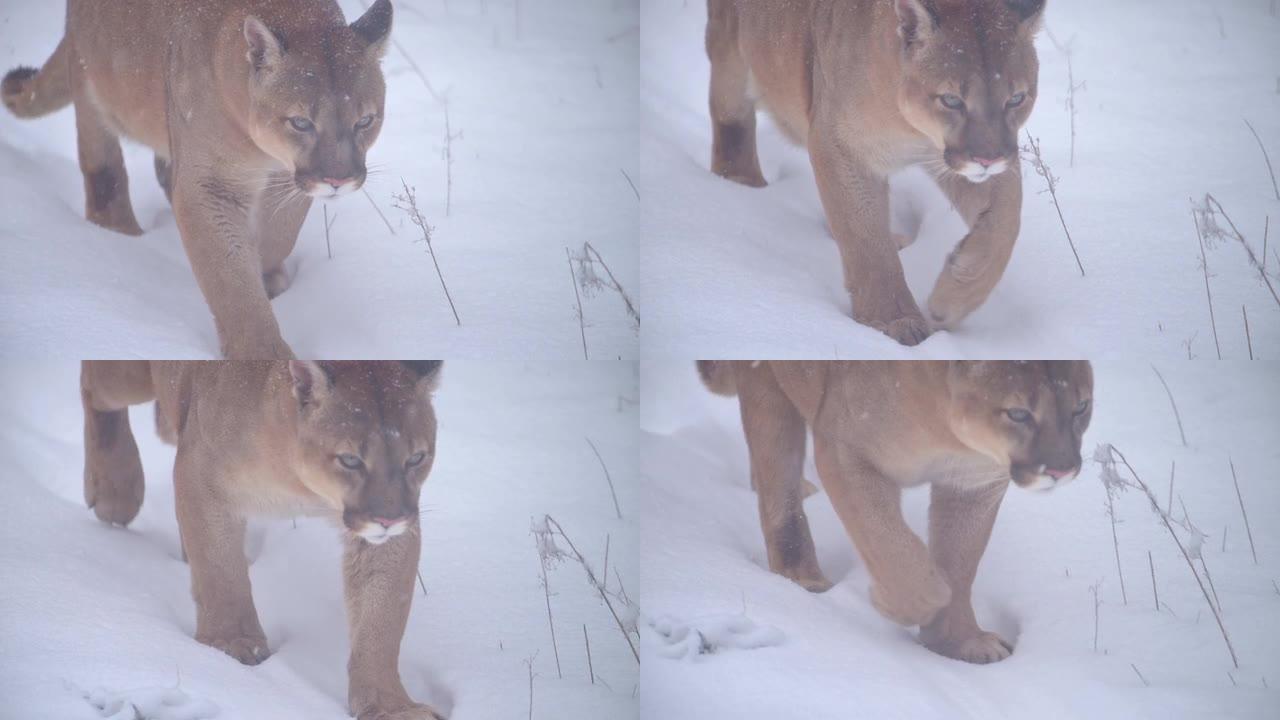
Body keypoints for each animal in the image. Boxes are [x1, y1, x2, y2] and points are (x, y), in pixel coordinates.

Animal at [3, 0, 389, 358]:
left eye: (365, 121)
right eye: (301, 122)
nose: (338, 179)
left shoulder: (285, 180)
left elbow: (280, 234)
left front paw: (269, 277)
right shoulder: (209, 186)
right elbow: (228, 275)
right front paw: (263, 358)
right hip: (94, 90)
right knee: (105, 175)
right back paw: (123, 236)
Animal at [80, 358, 448, 717]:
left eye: (416, 458)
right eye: (350, 460)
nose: (389, 518)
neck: (298, 479)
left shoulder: (386, 530)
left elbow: (381, 616)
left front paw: (391, 706)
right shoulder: (202, 475)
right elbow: (220, 569)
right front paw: (232, 642)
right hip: (130, 375)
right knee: (93, 384)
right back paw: (116, 491)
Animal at [701, 358, 1090, 661]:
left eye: (1081, 408)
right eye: (1019, 414)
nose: (1062, 469)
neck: (947, 430)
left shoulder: (975, 481)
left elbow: (960, 564)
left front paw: (957, 642)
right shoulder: (844, 449)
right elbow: (891, 544)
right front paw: (905, 604)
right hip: (770, 388)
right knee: (778, 488)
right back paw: (803, 578)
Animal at [706, 0, 1044, 345]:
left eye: (1016, 98)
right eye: (951, 100)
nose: (988, 159)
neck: (910, 126)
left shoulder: (967, 158)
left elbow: (1004, 224)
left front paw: (950, 300)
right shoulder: (840, 146)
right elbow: (865, 238)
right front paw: (893, 321)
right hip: (731, 52)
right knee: (731, 122)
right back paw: (743, 187)